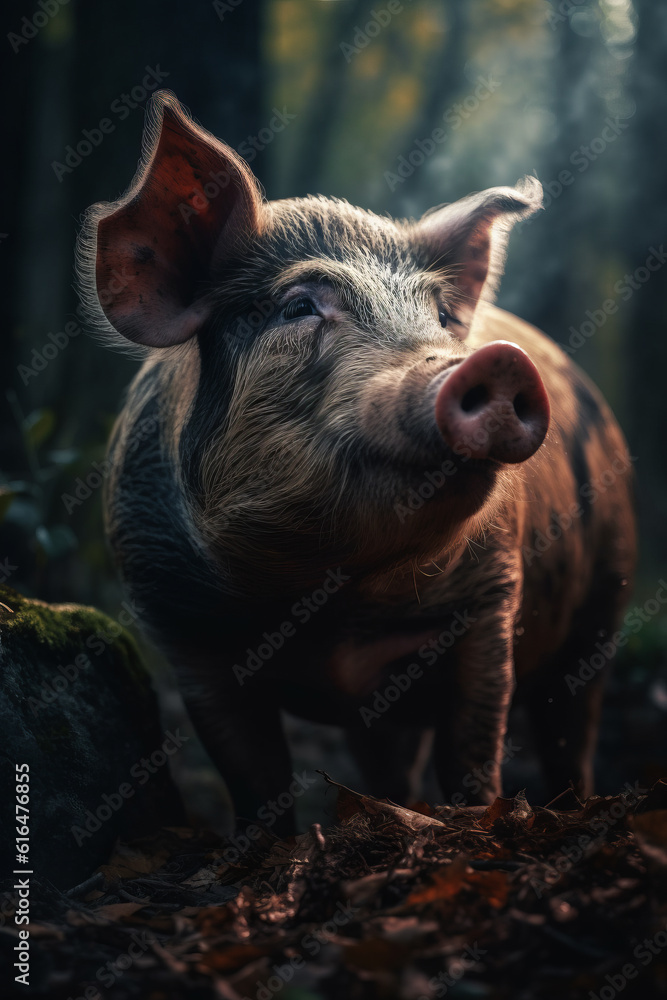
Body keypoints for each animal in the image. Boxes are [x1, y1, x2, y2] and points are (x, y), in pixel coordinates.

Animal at [78, 91, 636, 834]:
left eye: (440, 315)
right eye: (298, 306)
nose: (498, 361)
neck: (334, 605)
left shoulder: (491, 595)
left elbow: (474, 748)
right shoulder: (179, 627)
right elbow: (253, 779)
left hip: (605, 598)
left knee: (572, 725)